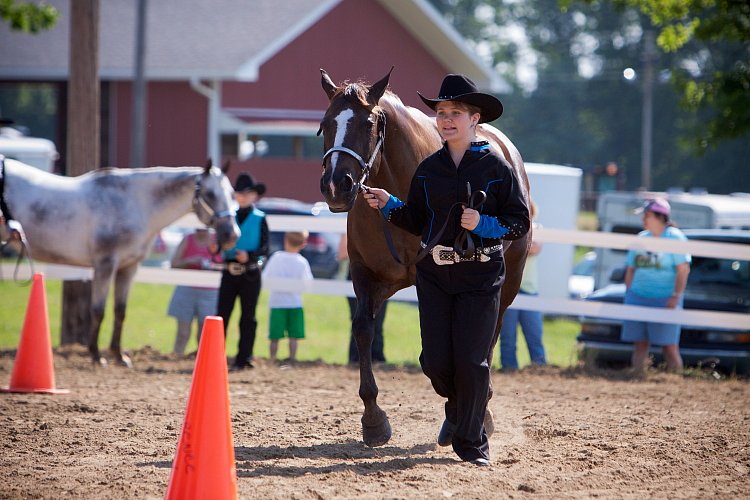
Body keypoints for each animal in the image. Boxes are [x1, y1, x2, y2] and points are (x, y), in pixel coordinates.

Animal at [320, 69, 532, 446]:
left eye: (368, 123)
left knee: (489, 333)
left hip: (508, 284)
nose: (335, 185)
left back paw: (482, 412)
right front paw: (373, 421)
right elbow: (363, 330)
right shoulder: (366, 276)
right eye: (326, 123)